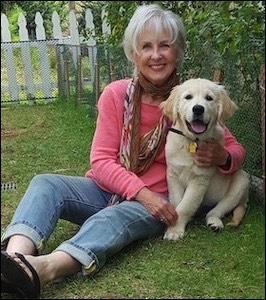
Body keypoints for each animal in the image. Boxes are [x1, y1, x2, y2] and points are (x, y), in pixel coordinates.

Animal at [160, 78, 249, 241]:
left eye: (209, 98)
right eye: (188, 97)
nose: (198, 109)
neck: (193, 142)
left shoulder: (199, 180)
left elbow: (185, 206)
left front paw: (174, 230)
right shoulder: (173, 174)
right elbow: (177, 202)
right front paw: (174, 227)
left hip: (241, 181)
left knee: (215, 211)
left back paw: (215, 223)